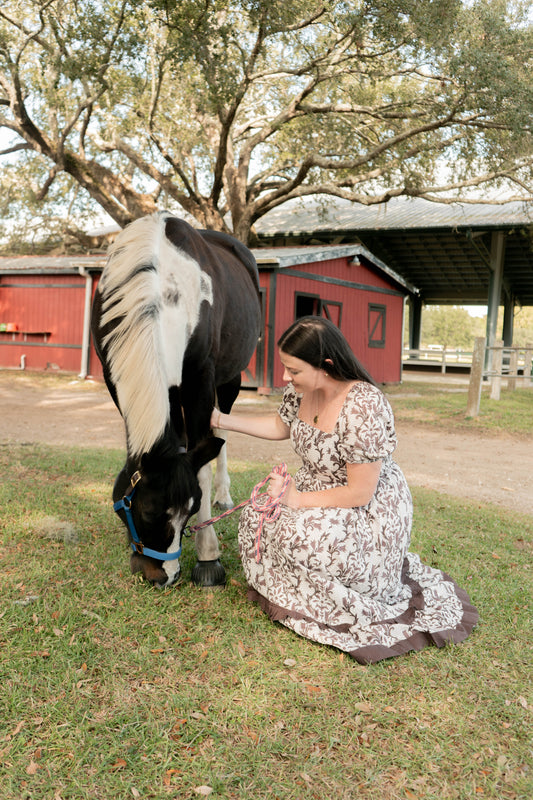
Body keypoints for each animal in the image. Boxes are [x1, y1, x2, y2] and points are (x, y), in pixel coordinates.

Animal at [91, 212, 262, 588]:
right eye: (147, 510)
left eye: (190, 510)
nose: (162, 577)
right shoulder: (114, 377)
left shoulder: (200, 378)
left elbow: (202, 464)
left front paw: (208, 556)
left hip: (229, 380)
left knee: (221, 432)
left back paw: (224, 494)